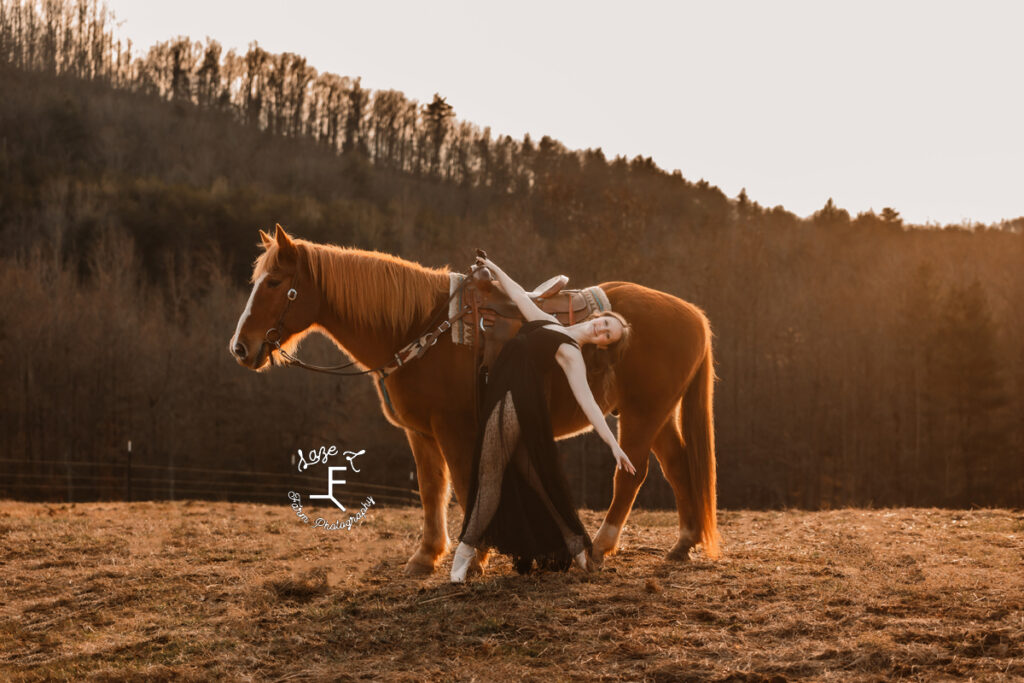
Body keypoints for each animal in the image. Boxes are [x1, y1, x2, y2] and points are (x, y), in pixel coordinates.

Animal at [230, 227, 720, 573]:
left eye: (274, 282)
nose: (240, 347)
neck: (419, 328)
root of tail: (694, 314)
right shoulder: (420, 432)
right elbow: (432, 490)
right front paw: (426, 556)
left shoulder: (452, 427)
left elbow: (466, 487)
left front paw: (477, 556)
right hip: (656, 415)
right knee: (678, 466)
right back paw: (683, 543)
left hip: (642, 415)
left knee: (631, 477)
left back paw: (599, 547)